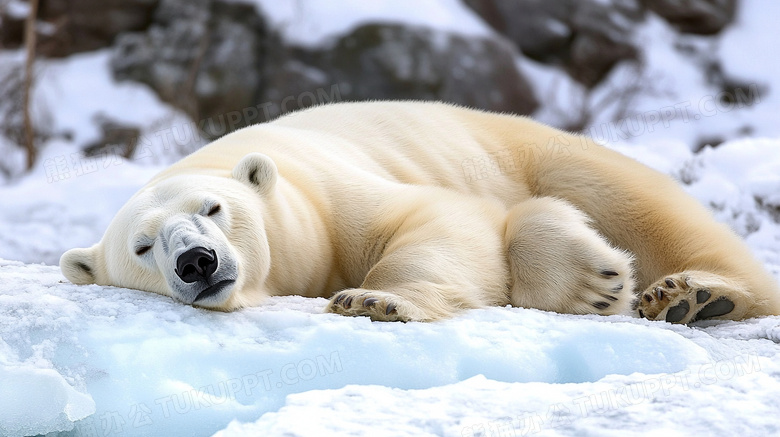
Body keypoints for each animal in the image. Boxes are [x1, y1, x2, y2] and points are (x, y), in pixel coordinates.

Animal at [59, 100, 780, 322]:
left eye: (215, 207)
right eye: (143, 247)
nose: (197, 260)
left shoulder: (328, 194)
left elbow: (437, 220)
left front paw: (375, 301)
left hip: (539, 150)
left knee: (635, 205)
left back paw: (696, 294)